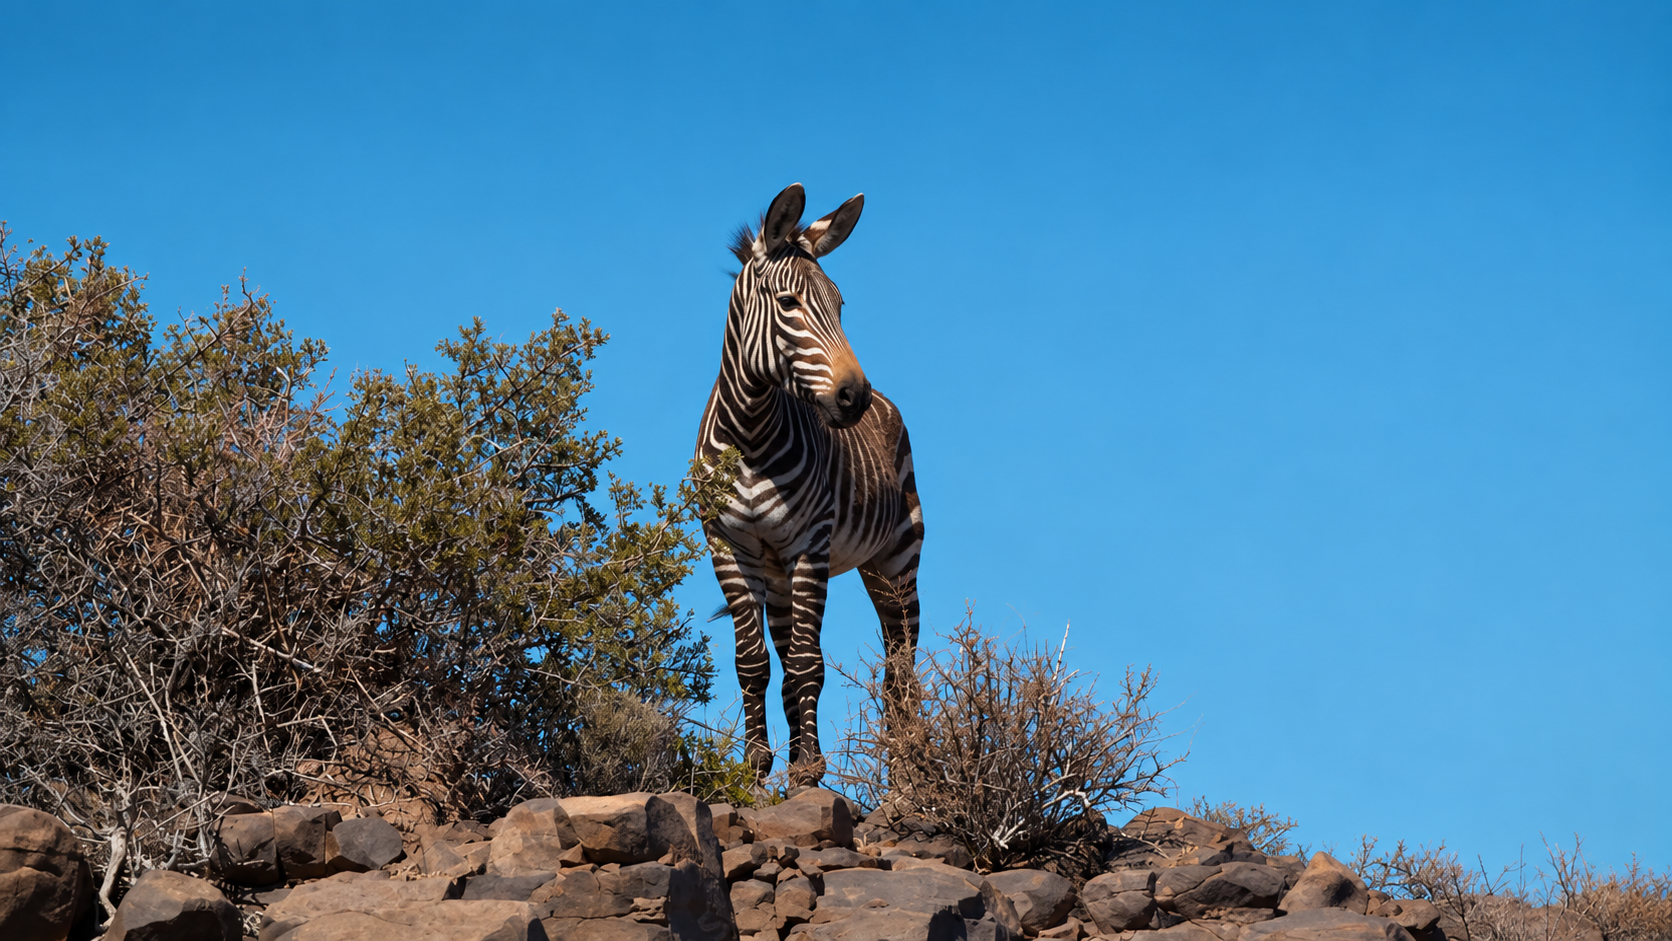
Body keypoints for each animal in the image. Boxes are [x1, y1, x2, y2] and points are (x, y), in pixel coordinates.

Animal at [695, 183, 925, 786]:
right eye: (789, 305)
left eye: (840, 305)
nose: (853, 397)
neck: (750, 435)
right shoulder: (729, 546)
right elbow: (754, 663)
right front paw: (758, 766)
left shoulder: (811, 546)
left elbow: (807, 664)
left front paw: (809, 774)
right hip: (783, 575)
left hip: (897, 557)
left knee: (901, 667)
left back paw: (907, 774)